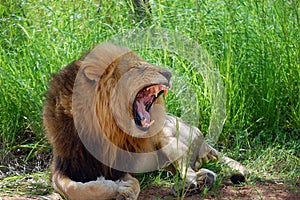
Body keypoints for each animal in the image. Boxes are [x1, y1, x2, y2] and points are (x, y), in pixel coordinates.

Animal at [42, 43, 248, 199]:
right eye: (138, 67)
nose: (169, 73)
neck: (99, 128)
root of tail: (204, 139)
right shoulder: (63, 165)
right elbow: (75, 188)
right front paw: (113, 187)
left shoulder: (120, 164)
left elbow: (130, 182)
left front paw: (123, 189)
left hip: (168, 135)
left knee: (189, 170)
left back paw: (195, 183)